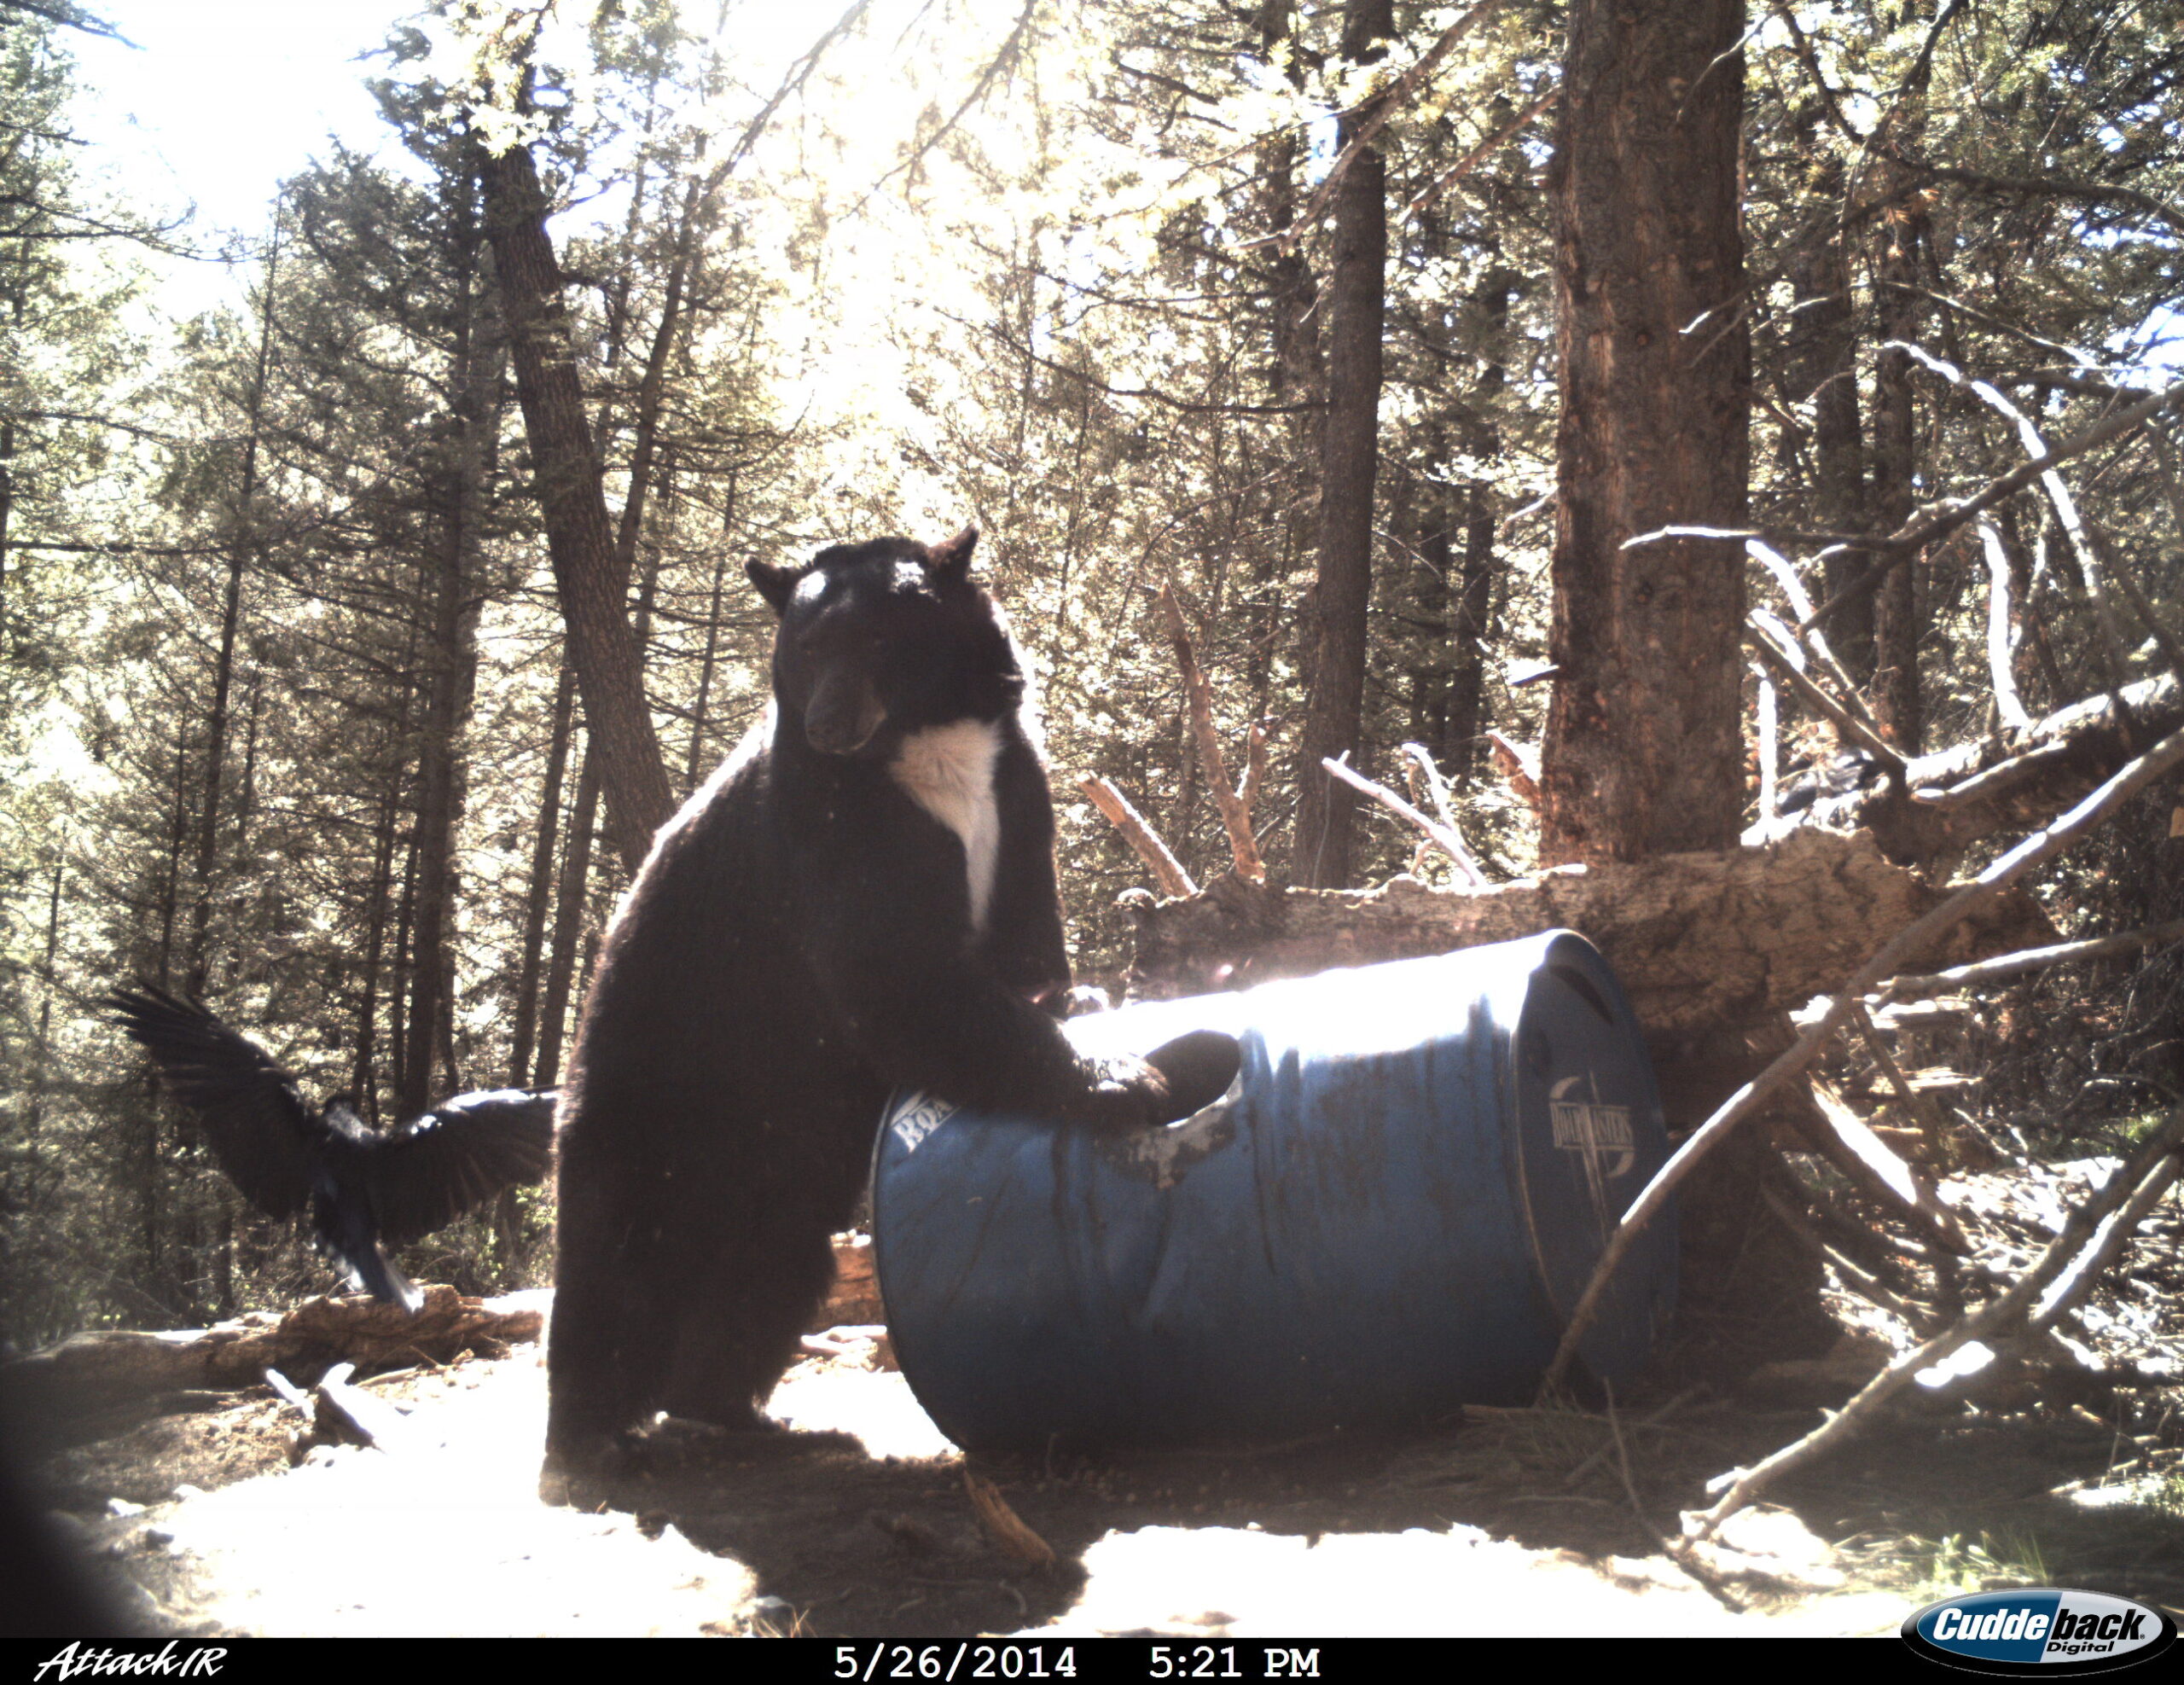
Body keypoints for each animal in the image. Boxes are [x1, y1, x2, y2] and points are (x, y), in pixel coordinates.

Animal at [542, 525, 1170, 1488]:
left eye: (877, 638)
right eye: (805, 647)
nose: (828, 723)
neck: (927, 742)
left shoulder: (1015, 789)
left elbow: (1023, 930)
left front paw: (1083, 995)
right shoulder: (830, 821)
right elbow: (896, 971)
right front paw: (1118, 1072)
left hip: (786, 1158)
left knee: (772, 1265)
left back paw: (738, 1411)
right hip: (648, 1094)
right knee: (616, 1265)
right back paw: (595, 1440)